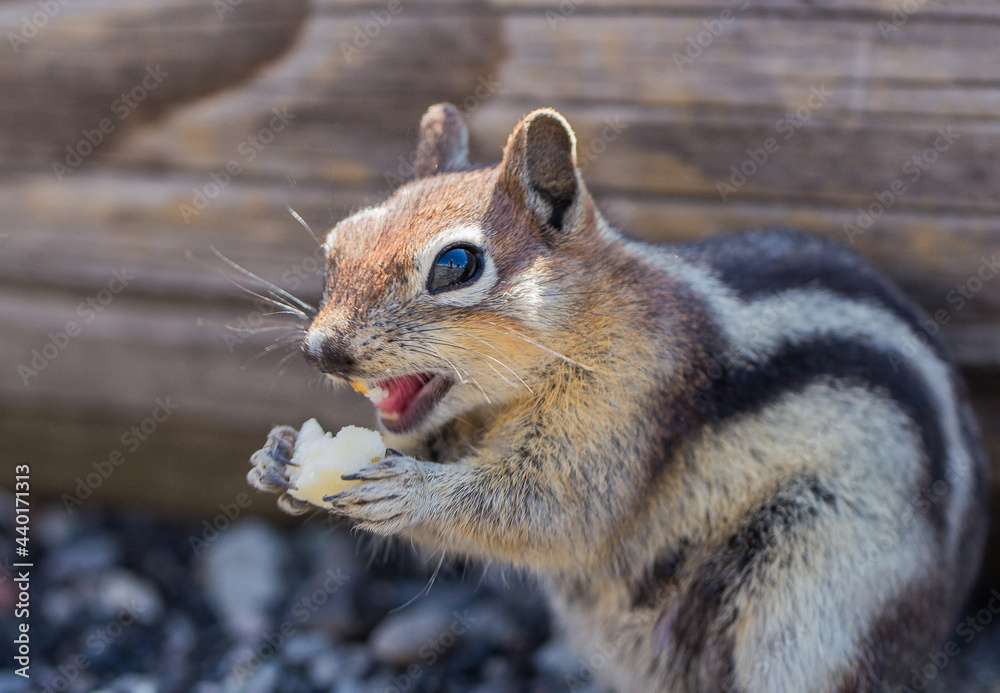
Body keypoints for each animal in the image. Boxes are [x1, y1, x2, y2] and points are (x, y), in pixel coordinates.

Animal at [248, 103, 991, 692]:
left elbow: (557, 512)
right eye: (337, 244)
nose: (322, 350)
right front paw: (278, 458)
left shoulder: (629, 398)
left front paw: (408, 492)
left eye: (456, 265)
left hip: (815, 601)